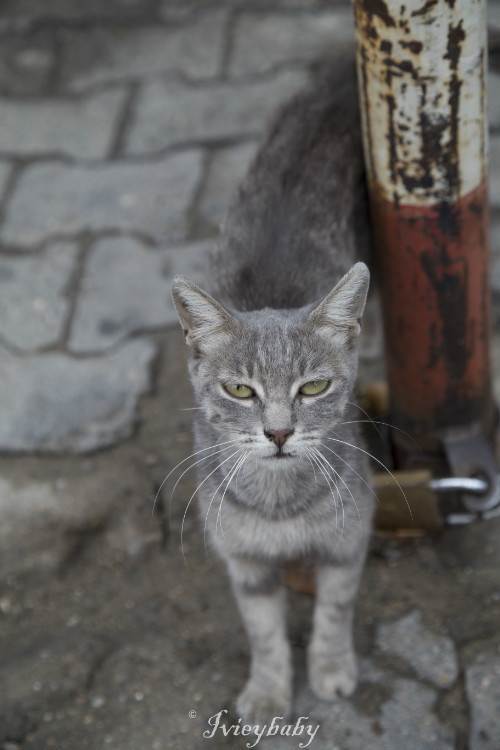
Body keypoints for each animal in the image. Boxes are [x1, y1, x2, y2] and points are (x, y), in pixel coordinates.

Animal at [172, 55, 372, 724]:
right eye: (240, 389)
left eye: (314, 387)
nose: (280, 431)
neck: (282, 505)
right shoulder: (245, 561)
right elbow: (262, 630)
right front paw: (266, 690)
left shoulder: (347, 541)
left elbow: (335, 610)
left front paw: (331, 669)